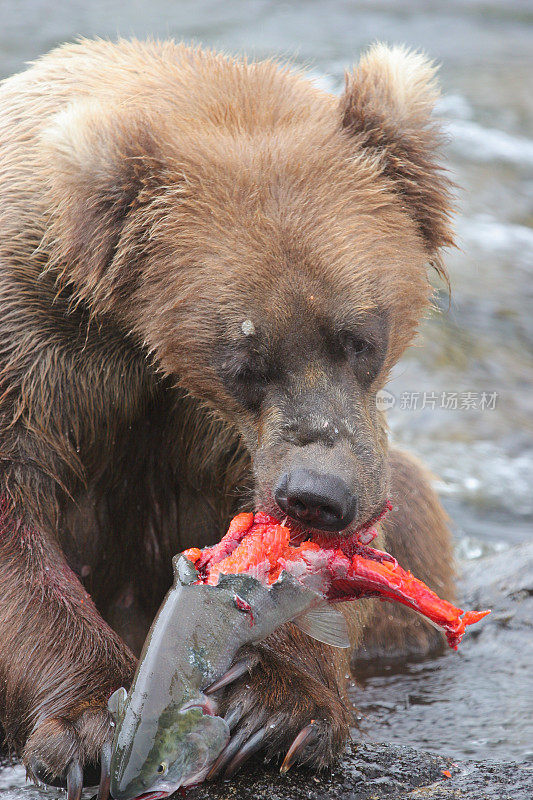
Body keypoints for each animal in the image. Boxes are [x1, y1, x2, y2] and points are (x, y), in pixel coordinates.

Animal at [0, 39, 454, 800]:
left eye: (361, 335)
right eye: (245, 360)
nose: (317, 496)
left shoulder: (234, 435)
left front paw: (275, 711)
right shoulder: (36, 348)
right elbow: (17, 527)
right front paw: (88, 725)